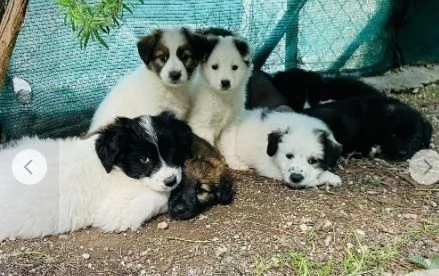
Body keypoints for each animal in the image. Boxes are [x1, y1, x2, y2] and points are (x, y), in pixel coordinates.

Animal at [0, 111, 192, 240]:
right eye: (144, 159)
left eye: (172, 151)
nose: (171, 180)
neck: (115, 167)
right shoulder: (118, 210)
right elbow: (162, 196)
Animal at [187, 29, 253, 169]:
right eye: (214, 66)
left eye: (234, 67)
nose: (225, 82)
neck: (222, 97)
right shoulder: (202, 125)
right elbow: (205, 147)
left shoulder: (230, 125)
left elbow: (229, 145)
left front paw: (234, 162)